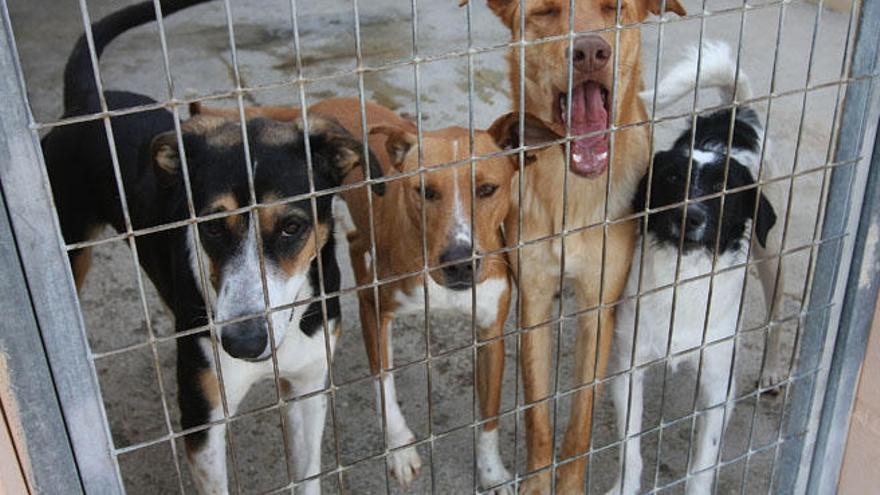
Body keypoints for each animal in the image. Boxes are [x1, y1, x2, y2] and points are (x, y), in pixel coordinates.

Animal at [42, 1, 382, 494]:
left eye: (292, 227)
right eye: (212, 228)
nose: (242, 342)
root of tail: (87, 101)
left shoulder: (310, 385)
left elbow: (308, 473)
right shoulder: (202, 422)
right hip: (72, 248)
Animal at [460, 0, 688, 494]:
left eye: (615, 8)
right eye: (546, 12)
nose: (589, 53)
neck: (571, 190)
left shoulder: (598, 309)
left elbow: (579, 423)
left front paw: (568, 484)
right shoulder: (533, 304)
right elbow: (538, 416)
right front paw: (537, 483)